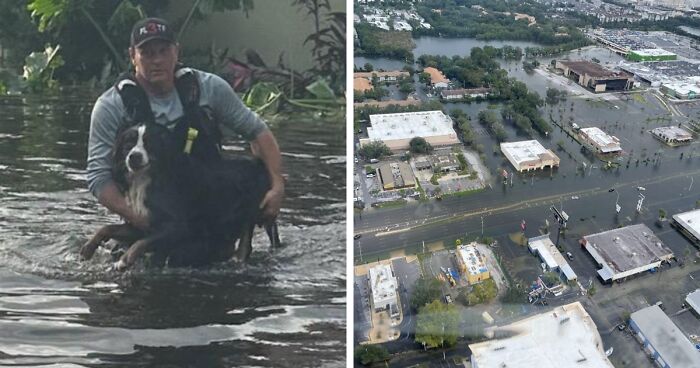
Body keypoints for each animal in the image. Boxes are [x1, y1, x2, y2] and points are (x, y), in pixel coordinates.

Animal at [81, 123, 278, 270]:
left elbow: (142, 243)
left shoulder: (178, 227)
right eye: (128, 144)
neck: (148, 178)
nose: (134, 156)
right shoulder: (141, 222)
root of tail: (259, 163)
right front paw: (88, 248)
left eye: (149, 143)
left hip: (249, 215)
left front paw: (124, 260)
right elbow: (107, 228)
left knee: (244, 247)